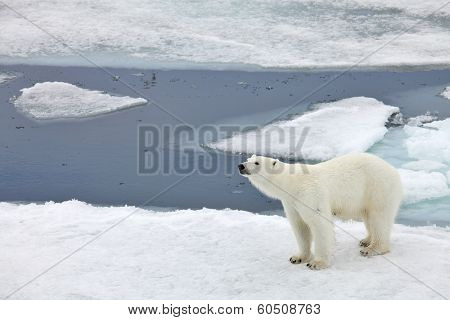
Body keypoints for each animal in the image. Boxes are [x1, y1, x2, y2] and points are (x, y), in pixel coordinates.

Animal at [237, 152, 402, 270]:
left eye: (257, 163)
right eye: (248, 158)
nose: (241, 165)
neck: (292, 183)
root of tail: (394, 171)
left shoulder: (310, 194)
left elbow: (319, 224)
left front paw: (317, 263)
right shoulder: (292, 202)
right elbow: (300, 226)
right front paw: (297, 257)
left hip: (377, 187)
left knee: (379, 217)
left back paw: (373, 248)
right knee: (368, 216)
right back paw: (366, 240)